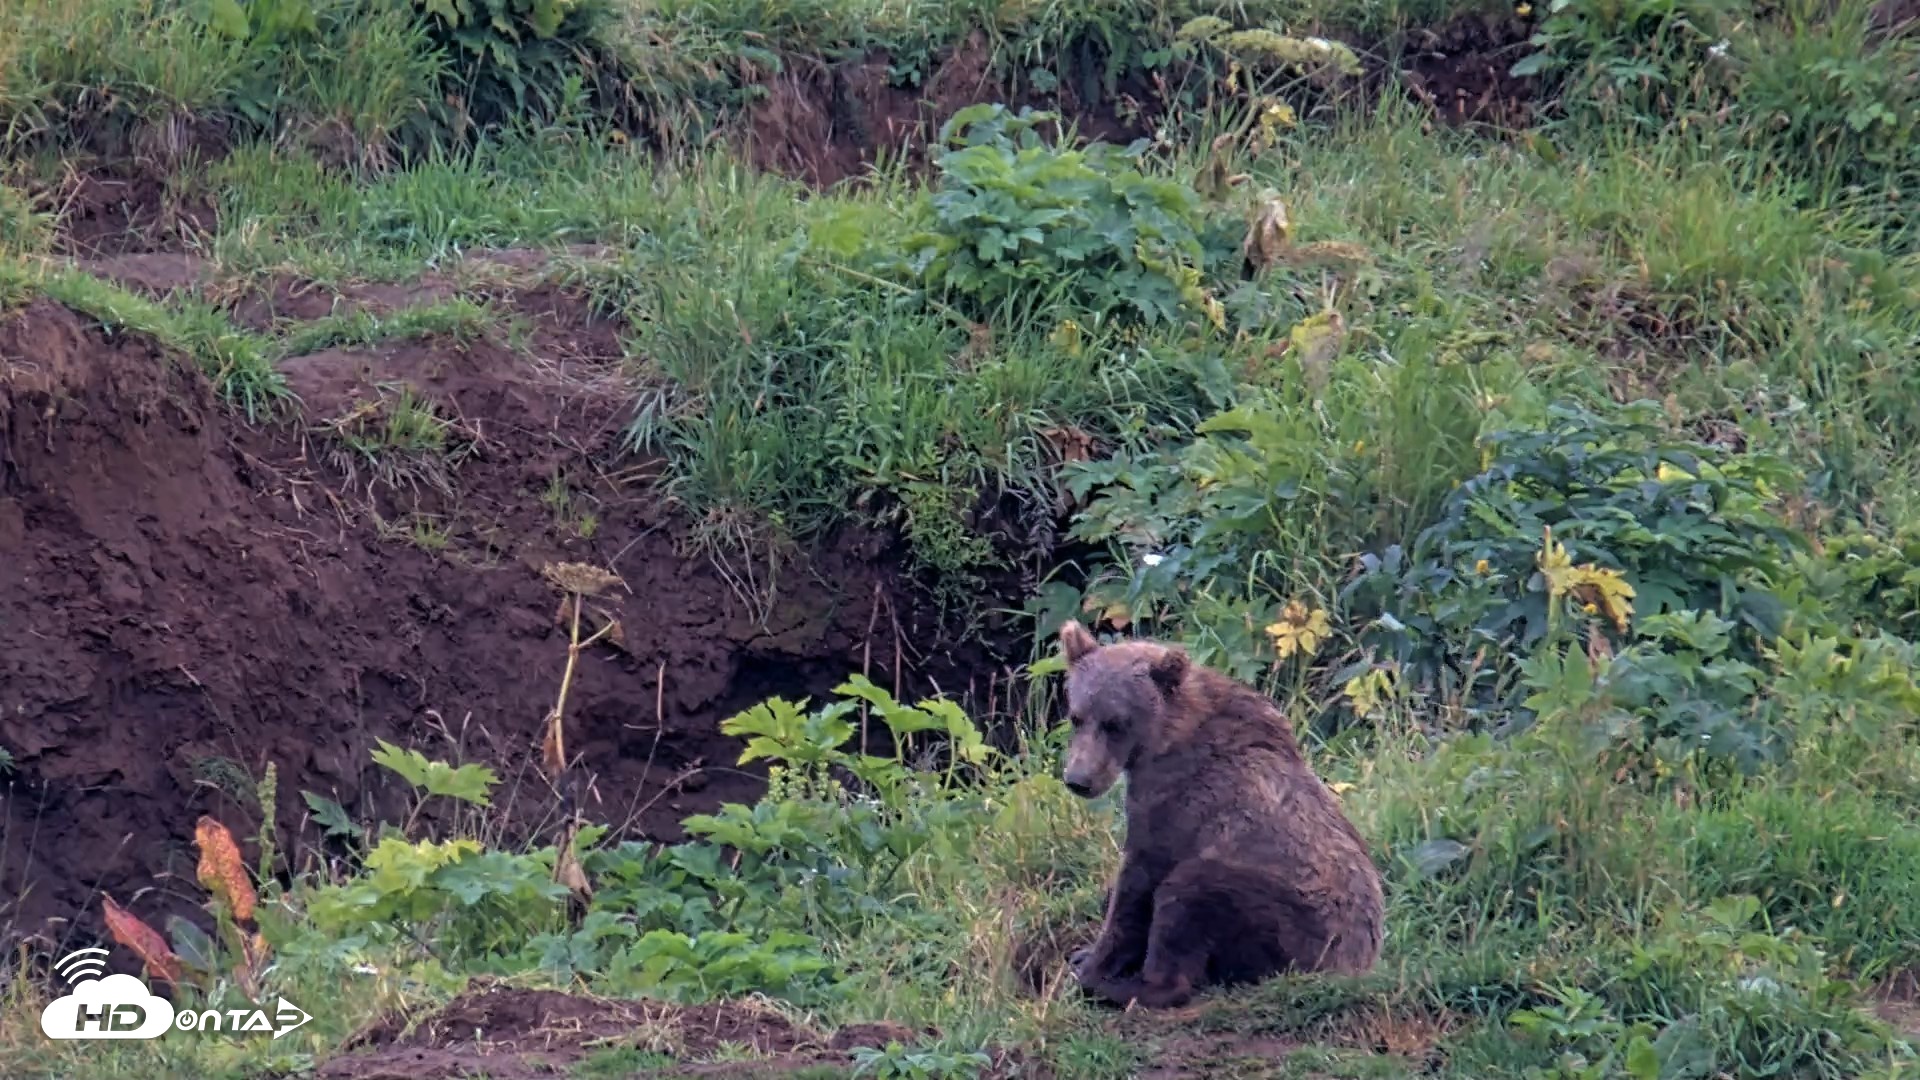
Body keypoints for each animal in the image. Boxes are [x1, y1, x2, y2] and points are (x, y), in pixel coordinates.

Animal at [1054, 618, 1385, 1010]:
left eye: (1116, 723)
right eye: (1077, 716)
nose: (1079, 780)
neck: (1166, 736)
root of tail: (1355, 964)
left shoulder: (1174, 802)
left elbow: (1138, 882)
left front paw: (1091, 967)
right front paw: (1082, 955)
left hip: (1293, 922)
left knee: (1190, 892)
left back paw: (1124, 988)